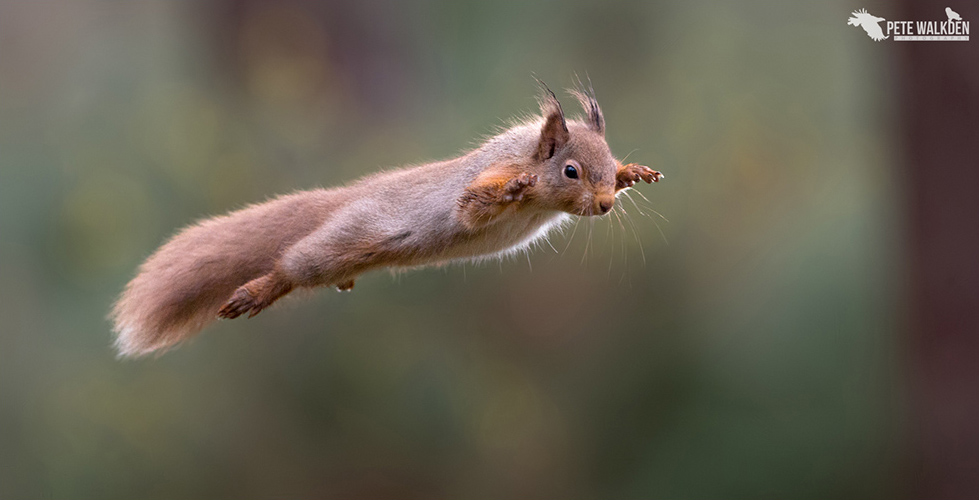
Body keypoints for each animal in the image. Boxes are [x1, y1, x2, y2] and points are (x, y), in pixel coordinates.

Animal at [113, 82, 668, 356]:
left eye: (607, 158)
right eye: (571, 171)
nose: (605, 204)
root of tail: (348, 198)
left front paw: (633, 173)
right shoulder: (479, 184)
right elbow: (470, 207)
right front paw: (514, 189)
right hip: (345, 237)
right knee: (294, 263)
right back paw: (259, 290)